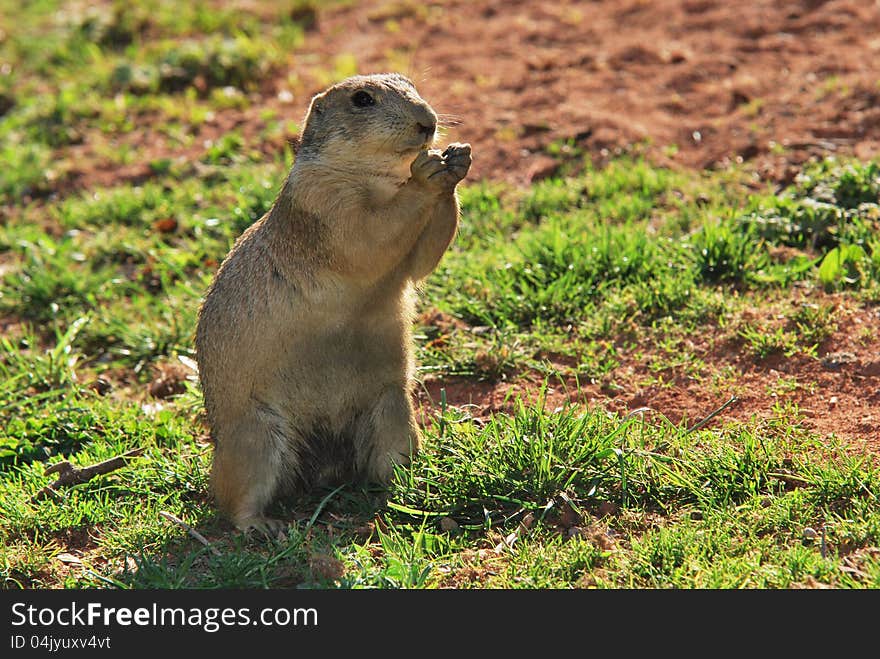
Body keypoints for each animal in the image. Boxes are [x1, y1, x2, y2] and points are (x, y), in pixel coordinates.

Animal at [195, 75, 470, 532]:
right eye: (362, 99)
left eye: (410, 83)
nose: (428, 122)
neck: (375, 177)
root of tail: (322, 470)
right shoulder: (324, 202)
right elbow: (370, 235)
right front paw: (429, 172)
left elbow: (421, 258)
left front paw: (458, 160)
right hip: (254, 439)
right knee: (232, 501)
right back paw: (263, 525)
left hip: (392, 409)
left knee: (382, 467)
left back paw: (406, 489)